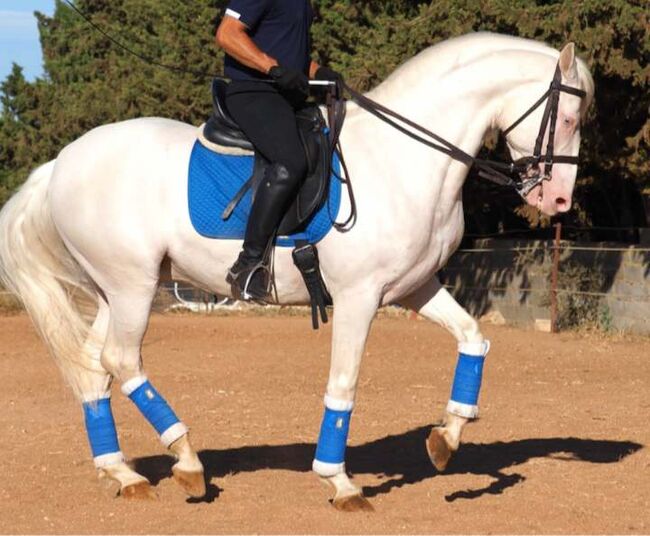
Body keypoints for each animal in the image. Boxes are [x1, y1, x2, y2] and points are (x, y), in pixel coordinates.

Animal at [0, 33, 592, 510]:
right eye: (567, 118)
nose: (559, 200)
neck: (403, 159)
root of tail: (63, 161)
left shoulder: (417, 287)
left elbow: (473, 339)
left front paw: (447, 438)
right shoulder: (359, 297)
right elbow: (344, 384)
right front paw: (340, 481)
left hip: (114, 290)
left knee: (94, 367)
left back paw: (122, 473)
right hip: (133, 286)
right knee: (122, 361)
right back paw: (187, 462)